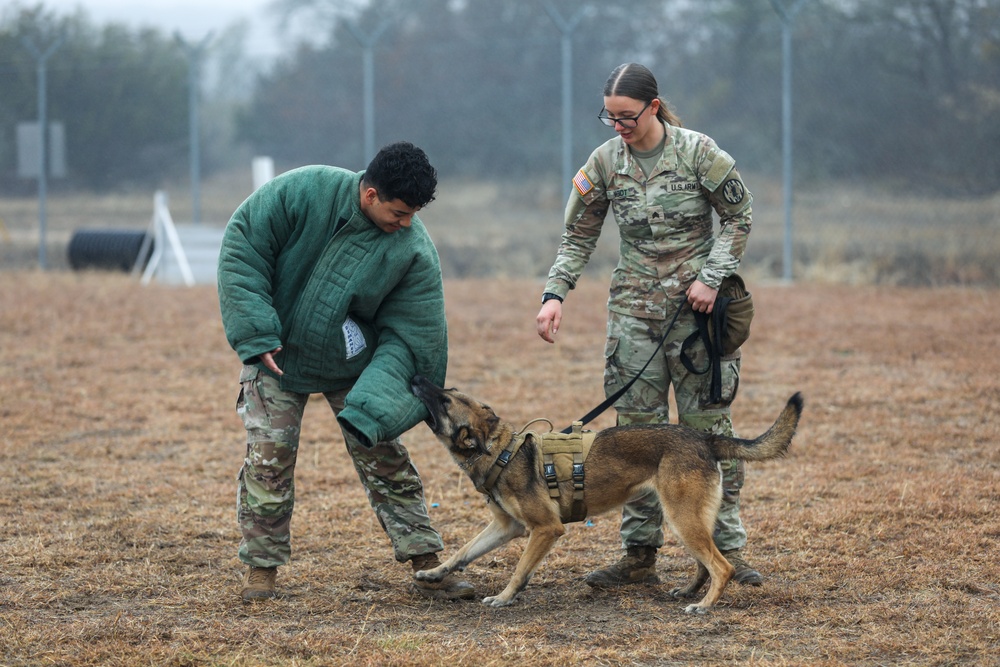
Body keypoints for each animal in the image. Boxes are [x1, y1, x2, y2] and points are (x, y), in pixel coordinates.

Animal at [410, 376, 800, 616]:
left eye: (444, 400)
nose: (416, 378)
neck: (501, 451)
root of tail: (705, 438)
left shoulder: (545, 529)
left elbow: (520, 569)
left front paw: (505, 598)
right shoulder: (506, 527)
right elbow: (463, 551)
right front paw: (434, 573)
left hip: (682, 518)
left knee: (722, 566)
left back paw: (704, 605)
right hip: (688, 519)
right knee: (706, 563)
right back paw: (690, 592)